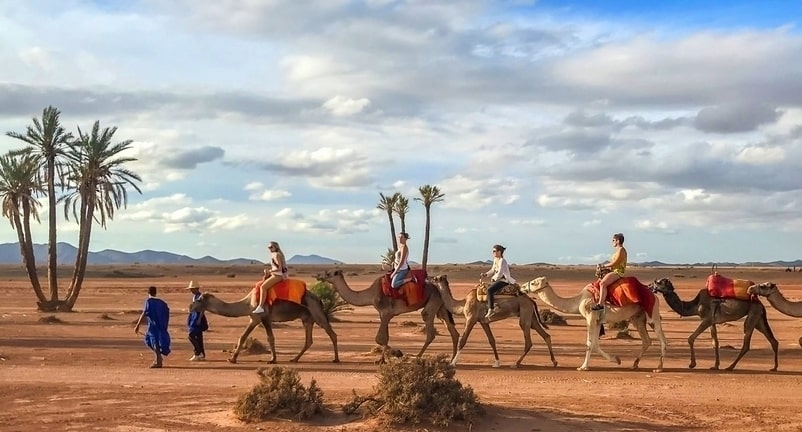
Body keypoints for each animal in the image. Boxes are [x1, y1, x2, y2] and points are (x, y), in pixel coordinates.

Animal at [190, 286, 338, 364]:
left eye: (199, 300)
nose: (191, 307)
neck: (248, 303)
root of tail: (318, 299)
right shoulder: (254, 319)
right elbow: (242, 337)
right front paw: (232, 358)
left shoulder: (265, 317)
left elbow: (270, 338)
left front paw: (272, 359)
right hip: (307, 319)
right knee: (309, 340)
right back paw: (294, 359)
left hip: (317, 314)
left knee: (332, 334)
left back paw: (336, 359)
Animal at [318, 270, 460, 362]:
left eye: (328, 274)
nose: (319, 276)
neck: (370, 294)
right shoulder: (384, 315)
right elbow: (384, 338)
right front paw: (383, 359)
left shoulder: (386, 312)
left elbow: (379, 339)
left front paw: (394, 355)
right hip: (441, 307)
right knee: (453, 332)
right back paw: (451, 360)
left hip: (433, 302)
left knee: (429, 327)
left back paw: (417, 357)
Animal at [520, 276, 664, 372]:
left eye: (533, 282)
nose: (521, 287)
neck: (578, 301)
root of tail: (654, 296)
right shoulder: (598, 321)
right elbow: (595, 344)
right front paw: (616, 359)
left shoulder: (590, 316)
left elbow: (589, 343)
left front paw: (583, 367)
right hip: (637, 318)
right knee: (647, 340)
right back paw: (635, 364)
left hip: (653, 314)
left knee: (662, 339)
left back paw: (659, 368)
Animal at [648, 278, 776, 372]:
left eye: (658, 282)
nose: (649, 286)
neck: (695, 304)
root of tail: (760, 303)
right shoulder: (712, 322)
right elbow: (715, 343)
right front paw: (715, 366)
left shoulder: (707, 319)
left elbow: (691, 338)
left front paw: (692, 364)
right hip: (759, 319)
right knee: (773, 340)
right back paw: (774, 367)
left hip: (752, 315)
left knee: (746, 344)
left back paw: (730, 367)